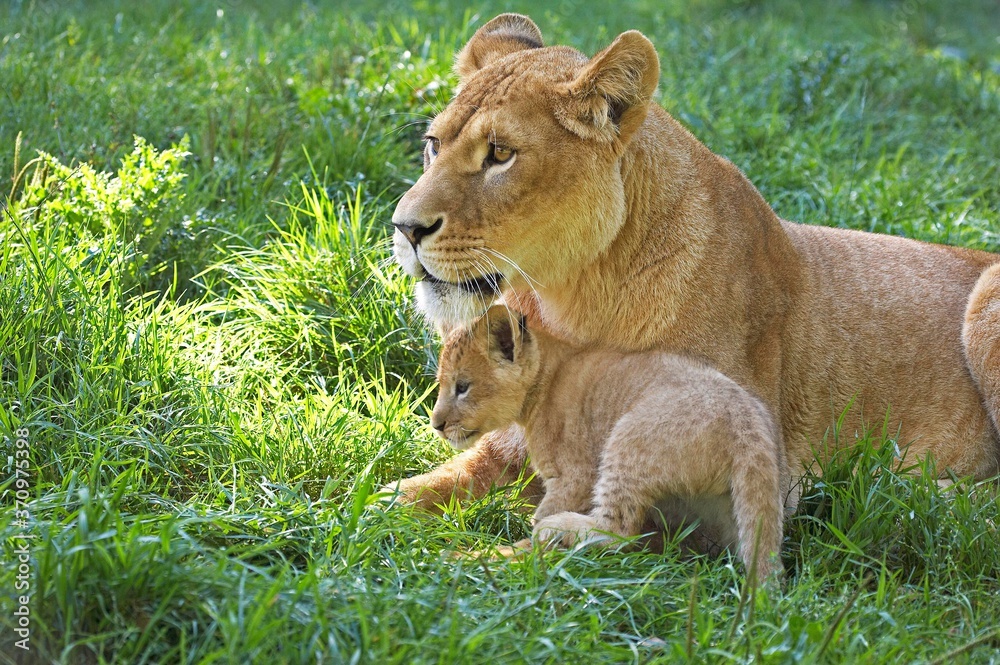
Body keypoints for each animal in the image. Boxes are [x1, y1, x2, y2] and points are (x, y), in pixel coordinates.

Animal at [386, 14, 1000, 517]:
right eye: (433, 144)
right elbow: (436, 481)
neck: (573, 301)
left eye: (500, 154)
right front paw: (375, 509)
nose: (405, 228)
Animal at [432, 305, 792, 579]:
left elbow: (542, 523)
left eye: (462, 387)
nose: (436, 425)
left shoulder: (575, 476)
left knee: (619, 531)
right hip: (728, 505)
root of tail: (748, 426)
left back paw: (553, 531)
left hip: (628, 439)